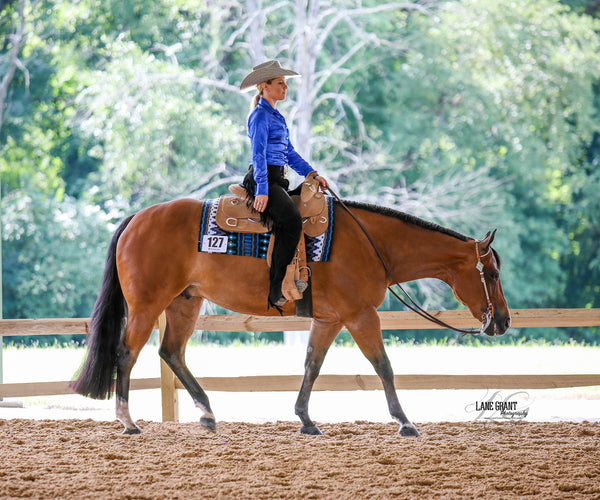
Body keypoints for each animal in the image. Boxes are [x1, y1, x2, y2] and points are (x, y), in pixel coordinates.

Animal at [71, 197, 510, 436]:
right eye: (491, 273)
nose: (503, 321)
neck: (371, 243)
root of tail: (136, 218)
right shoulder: (360, 315)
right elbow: (383, 366)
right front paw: (404, 422)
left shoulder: (330, 319)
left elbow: (312, 365)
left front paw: (305, 419)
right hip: (147, 305)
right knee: (127, 354)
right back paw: (128, 421)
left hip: (185, 302)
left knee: (172, 353)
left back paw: (207, 413)